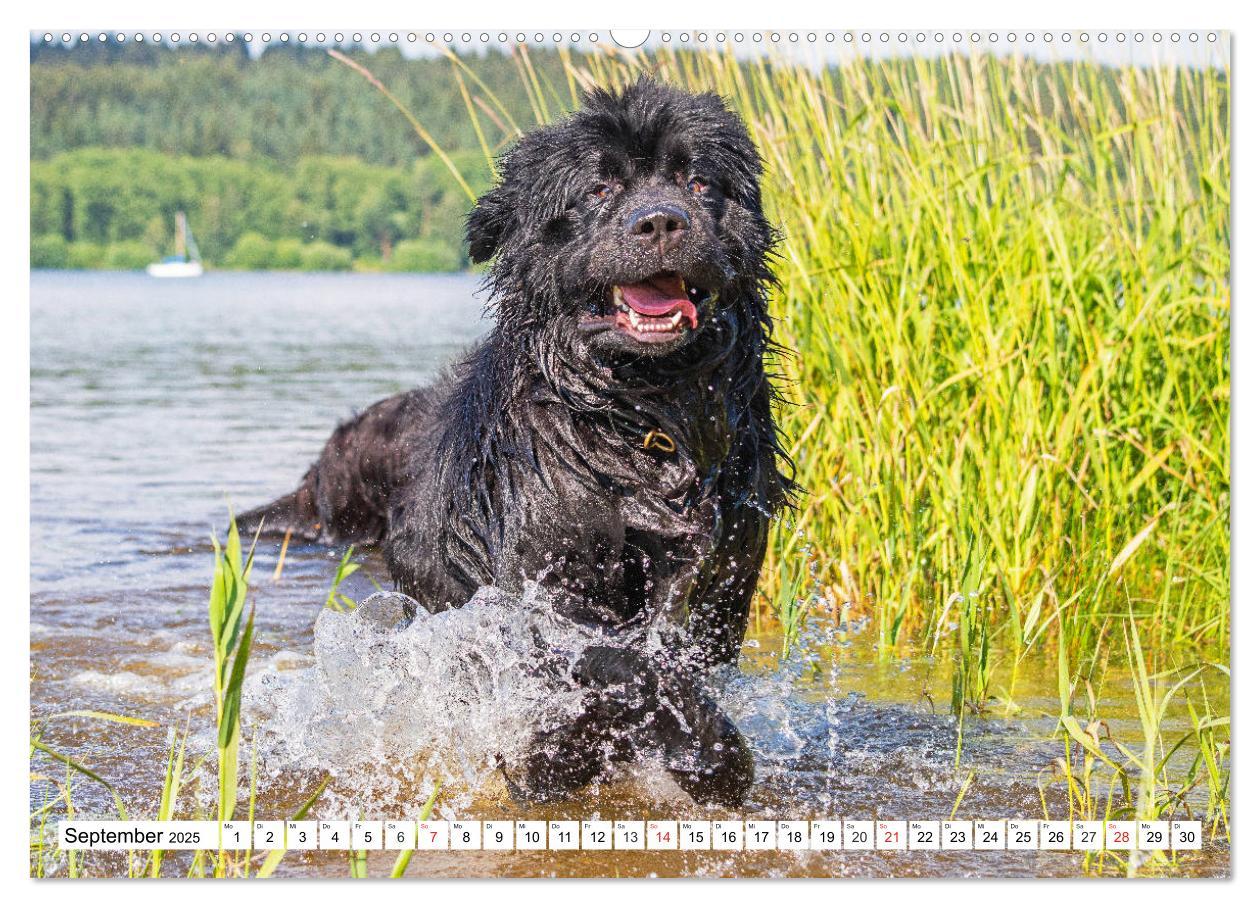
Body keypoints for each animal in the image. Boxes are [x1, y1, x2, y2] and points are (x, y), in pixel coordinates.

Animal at [240, 81, 791, 805]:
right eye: (598, 189)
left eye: (699, 183)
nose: (662, 222)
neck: (641, 421)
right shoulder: (544, 576)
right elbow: (625, 665)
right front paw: (568, 756)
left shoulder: (724, 570)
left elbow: (672, 659)